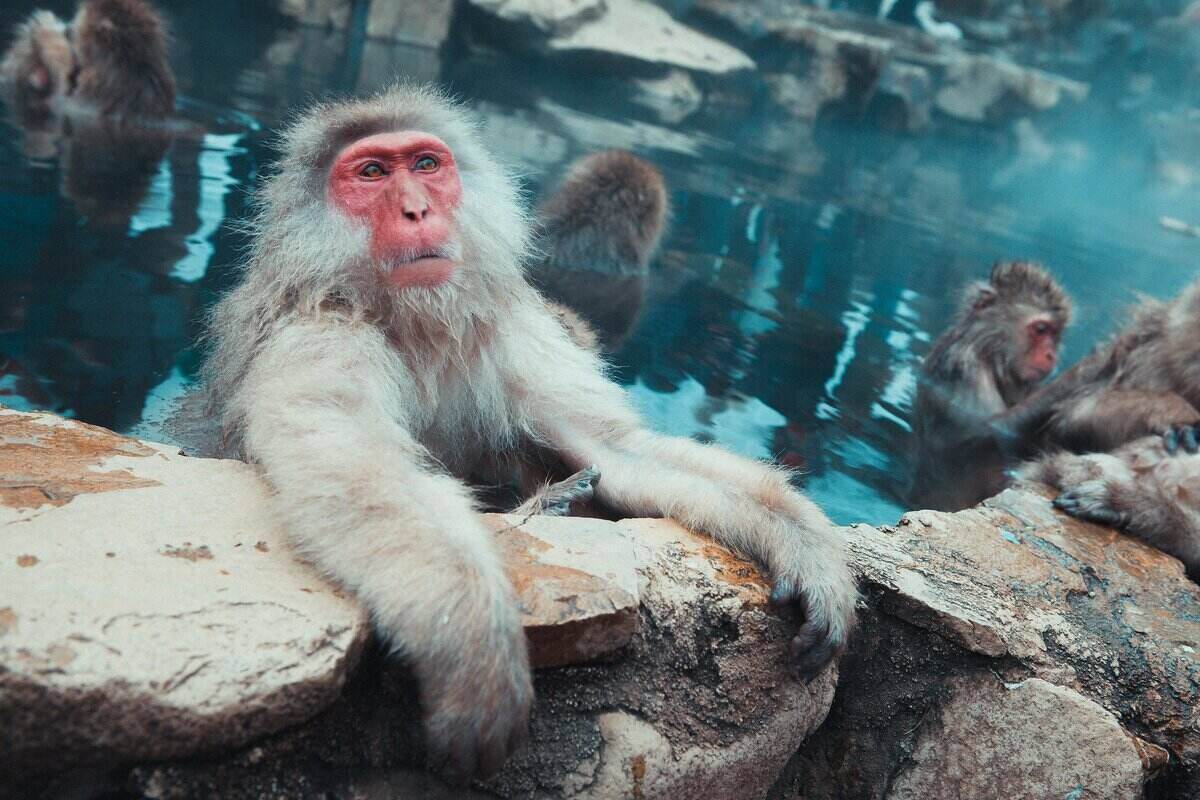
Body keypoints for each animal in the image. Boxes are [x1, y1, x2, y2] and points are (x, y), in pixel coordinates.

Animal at [909, 261, 1073, 512]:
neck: (990, 352)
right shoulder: (965, 367)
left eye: (1056, 334)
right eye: (1041, 329)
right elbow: (987, 429)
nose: (1050, 355)